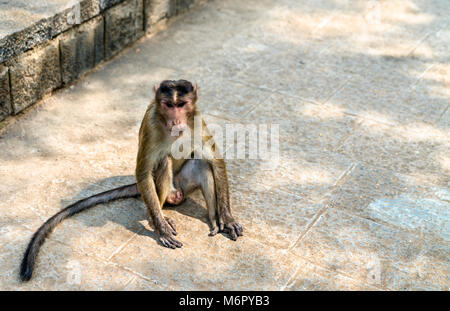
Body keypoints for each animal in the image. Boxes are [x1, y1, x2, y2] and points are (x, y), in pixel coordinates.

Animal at [19, 80, 243, 282]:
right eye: (168, 105)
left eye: (181, 104)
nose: (175, 120)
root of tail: (177, 192)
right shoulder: (152, 124)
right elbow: (143, 172)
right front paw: (161, 228)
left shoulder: (196, 118)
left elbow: (215, 160)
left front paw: (227, 219)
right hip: (169, 191)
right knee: (163, 164)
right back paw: (156, 217)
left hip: (184, 184)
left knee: (200, 162)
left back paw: (213, 218)